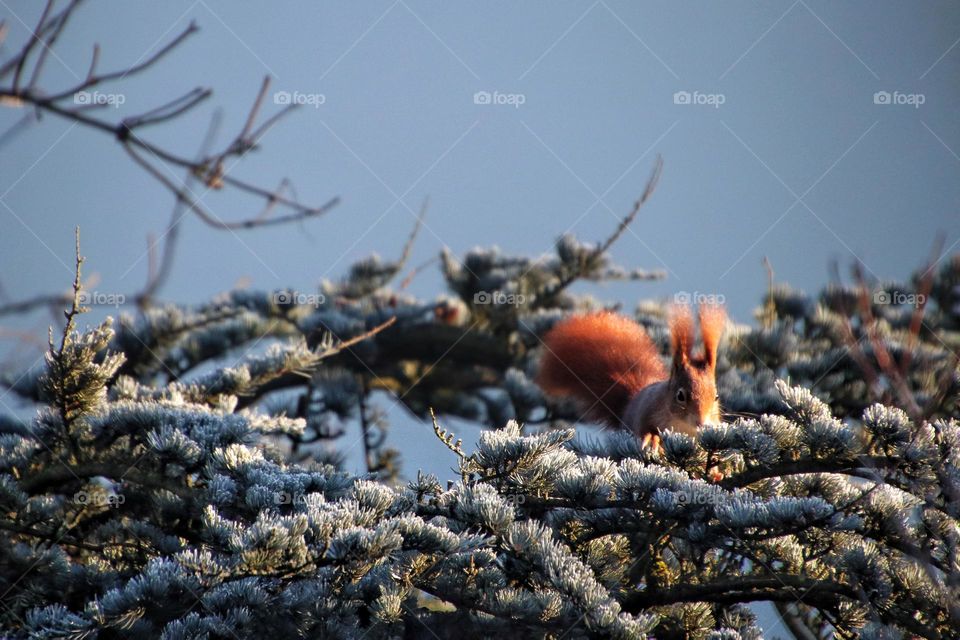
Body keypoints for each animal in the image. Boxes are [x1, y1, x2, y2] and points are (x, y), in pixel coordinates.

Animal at [536, 304, 724, 450]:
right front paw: (652, 439)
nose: (702, 422)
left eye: (716, 396)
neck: (682, 426)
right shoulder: (647, 410)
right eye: (680, 396)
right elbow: (645, 428)